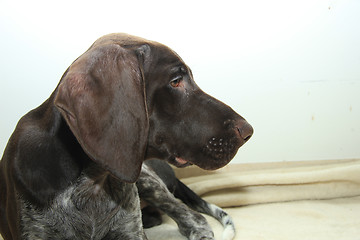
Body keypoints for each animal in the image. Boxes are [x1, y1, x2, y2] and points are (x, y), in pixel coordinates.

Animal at [0, 33, 253, 240]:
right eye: (176, 81)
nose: (248, 131)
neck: (90, 183)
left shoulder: (131, 231)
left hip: (148, 180)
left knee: (193, 218)